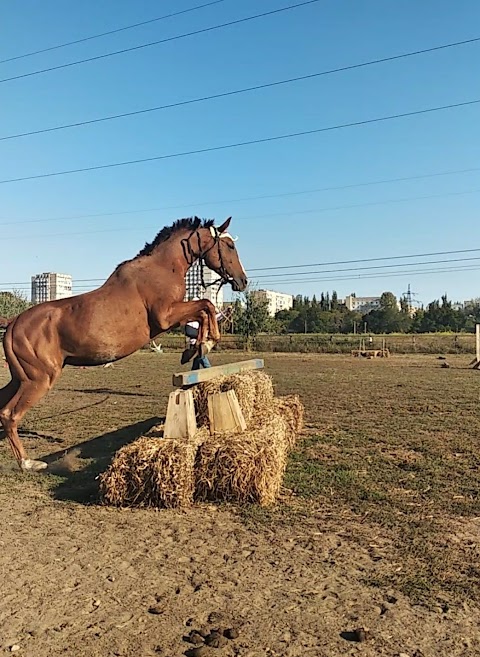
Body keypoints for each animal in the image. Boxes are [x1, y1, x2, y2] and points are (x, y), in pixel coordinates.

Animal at [0, 217, 246, 472]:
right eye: (230, 246)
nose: (243, 281)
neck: (163, 267)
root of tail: (13, 323)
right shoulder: (166, 317)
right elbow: (207, 305)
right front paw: (207, 342)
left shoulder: (174, 317)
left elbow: (204, 310)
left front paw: (196, 347)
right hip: (39, 379)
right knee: (10, 414)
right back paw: (28, 462)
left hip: (20, 379)